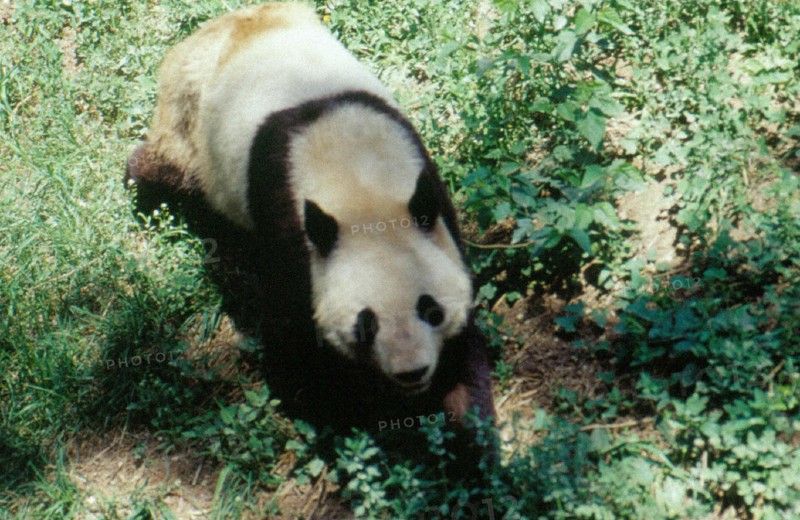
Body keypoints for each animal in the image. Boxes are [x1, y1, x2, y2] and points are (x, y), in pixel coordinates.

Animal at [126, 2, 495, 466]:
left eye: (431, 310)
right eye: (366, 323)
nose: (411, 372)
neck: (361, 186)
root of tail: (232, 20)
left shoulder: (434, 205)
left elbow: (465, 343)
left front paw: (472, 444)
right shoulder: (289, 226)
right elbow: (294, 341)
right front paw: (356, 415)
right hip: (191, 115)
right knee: (169, 166)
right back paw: (140, 184)